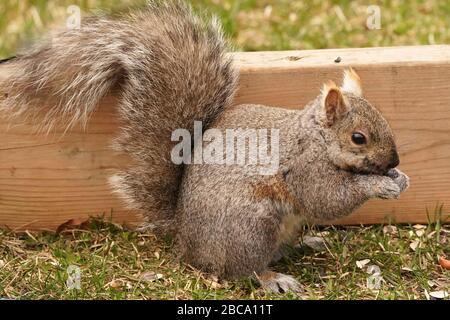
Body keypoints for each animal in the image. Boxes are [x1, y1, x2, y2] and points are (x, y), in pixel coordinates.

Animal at [0, 0, 408, 292]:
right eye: (358, 138)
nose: (394, 159)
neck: (315, 138)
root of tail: (187, 241)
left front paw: (400, 178)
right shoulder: (305, 167)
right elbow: (328, 198)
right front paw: (379, 184)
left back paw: (307, 243)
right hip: (250, 228)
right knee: (241, 270)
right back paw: (272, 278)